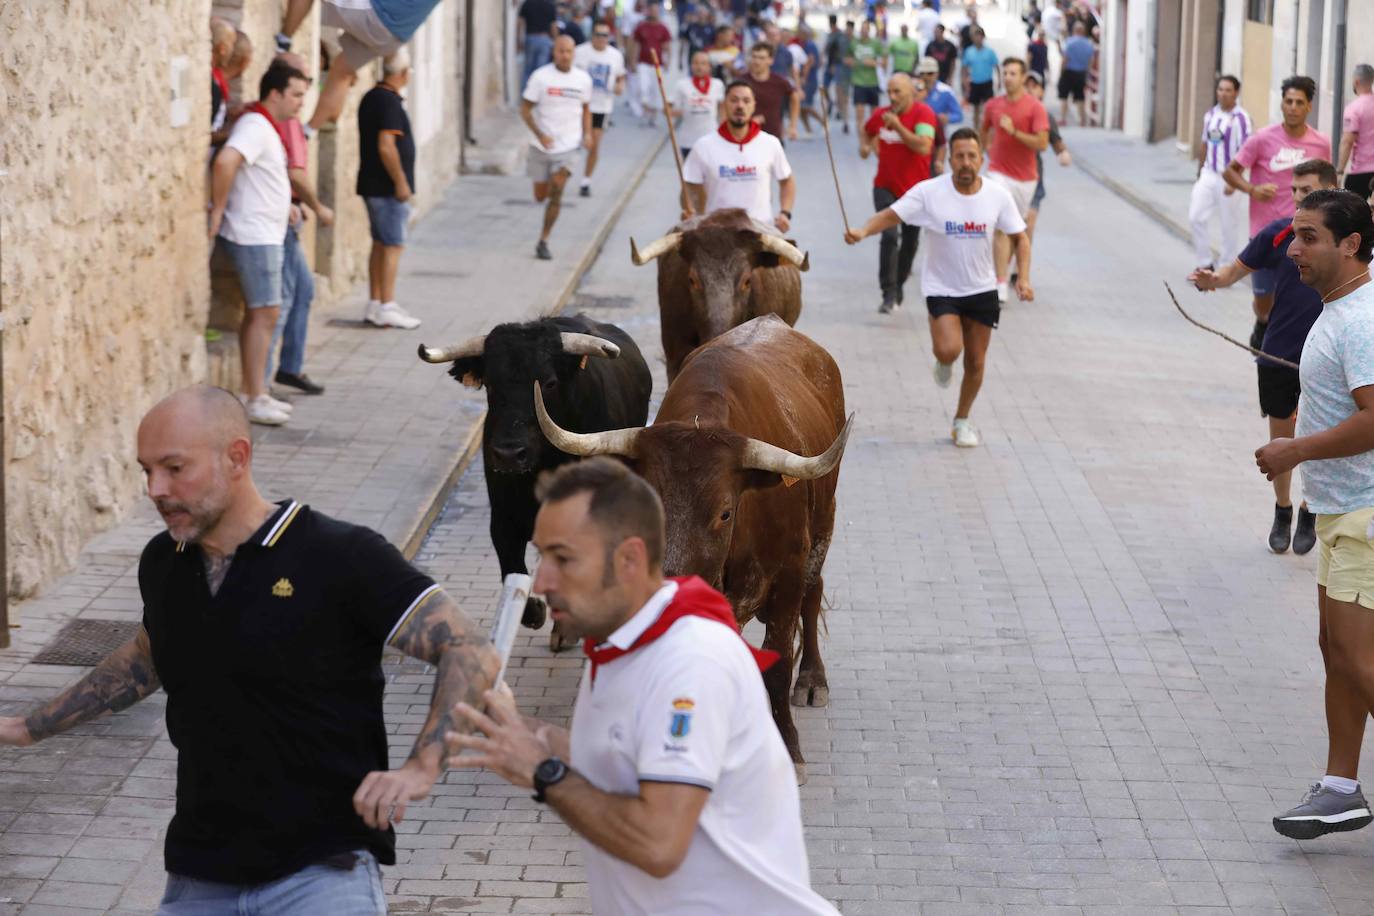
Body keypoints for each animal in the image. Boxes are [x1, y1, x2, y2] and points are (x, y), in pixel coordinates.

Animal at [533, 315, 846, 780]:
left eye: (725, 513)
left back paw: (812, 680)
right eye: (651, 501)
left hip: (823, 523)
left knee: (814, 592)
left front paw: (789, 749)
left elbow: (778, 660)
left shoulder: (788, 573)